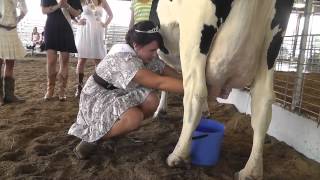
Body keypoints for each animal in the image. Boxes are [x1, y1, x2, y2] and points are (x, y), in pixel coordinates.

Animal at [149, 0, 292, 179]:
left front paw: (160, 110)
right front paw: (204, 111)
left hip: (194, 35)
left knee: (195, 92)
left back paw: (178, 155)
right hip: (271, 46)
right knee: (263, 103)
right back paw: (251, 171)